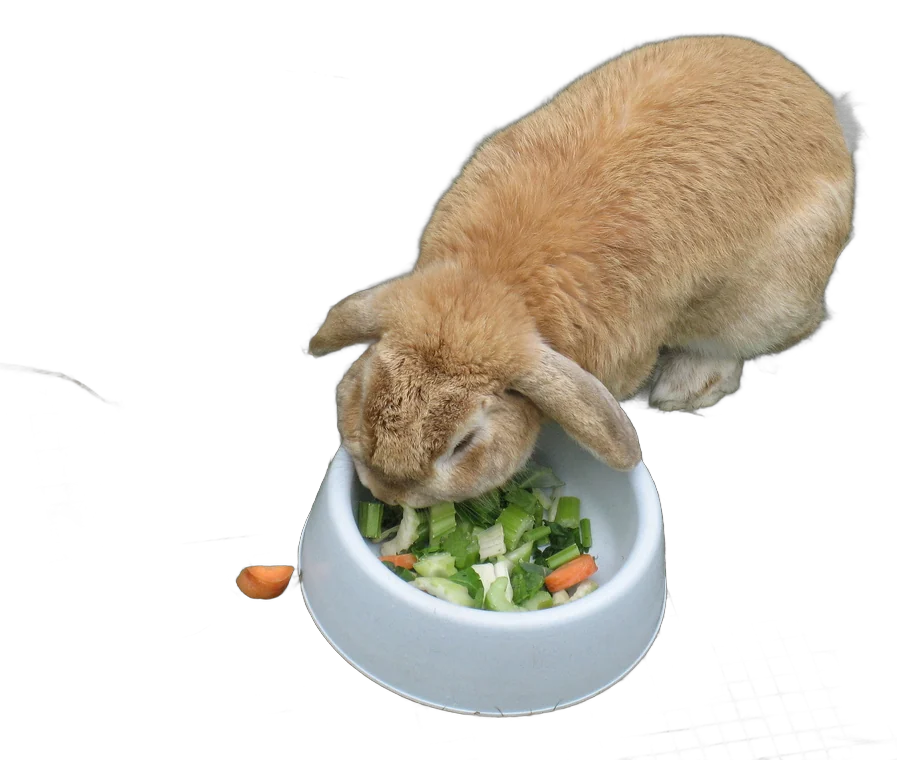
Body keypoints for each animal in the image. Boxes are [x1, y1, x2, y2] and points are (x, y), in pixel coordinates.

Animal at [308, 35, 858, 508]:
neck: (493, 285)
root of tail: (830, 117)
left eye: (464, 444)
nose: (387, 494)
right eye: (362, 394)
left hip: (768, 301)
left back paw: (687, 386)